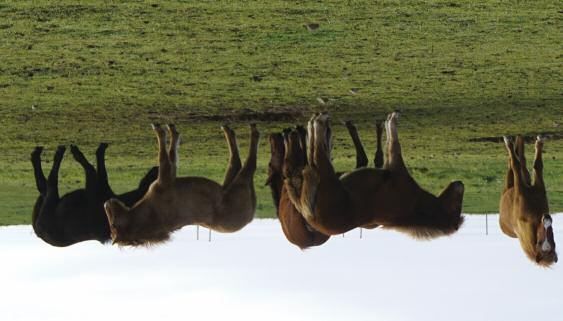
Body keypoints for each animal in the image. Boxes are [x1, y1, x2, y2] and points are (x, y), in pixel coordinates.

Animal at [104, 122, 258, 245]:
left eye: (112, 224)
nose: (106, 203)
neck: (152, 214)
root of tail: (250, 218)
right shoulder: (165, 178)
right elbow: (164, 157)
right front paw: (161, 131)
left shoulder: (169, 176)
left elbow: (170, 154)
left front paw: (172, 132)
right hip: (238, 183)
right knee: (247, 162)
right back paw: (248, 131)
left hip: (231, 182)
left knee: (237, 159)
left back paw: (230, 131)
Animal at [284, 110, 464, 238]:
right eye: (458, 205)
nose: (460, 183)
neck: (414, 205)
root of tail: (312, 219)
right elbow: (392, 141)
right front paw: (391, 119)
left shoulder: (396, 166)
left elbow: (394, 144)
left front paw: (392, 119)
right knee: (314, 150)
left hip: (325, 174)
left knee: (317, 151)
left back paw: (318, 122)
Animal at [500, 134, 556, 264]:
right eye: (540, 241)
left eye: (550, 236)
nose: (547, 218)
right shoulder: (536, 187)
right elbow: (537, 165)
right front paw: (539, 142)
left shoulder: (520, 189)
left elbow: (517, 165)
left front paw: (509, 143)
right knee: (521, 162)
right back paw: (519, 141)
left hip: (509, 186)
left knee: (516, 163)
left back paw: (513, 143)